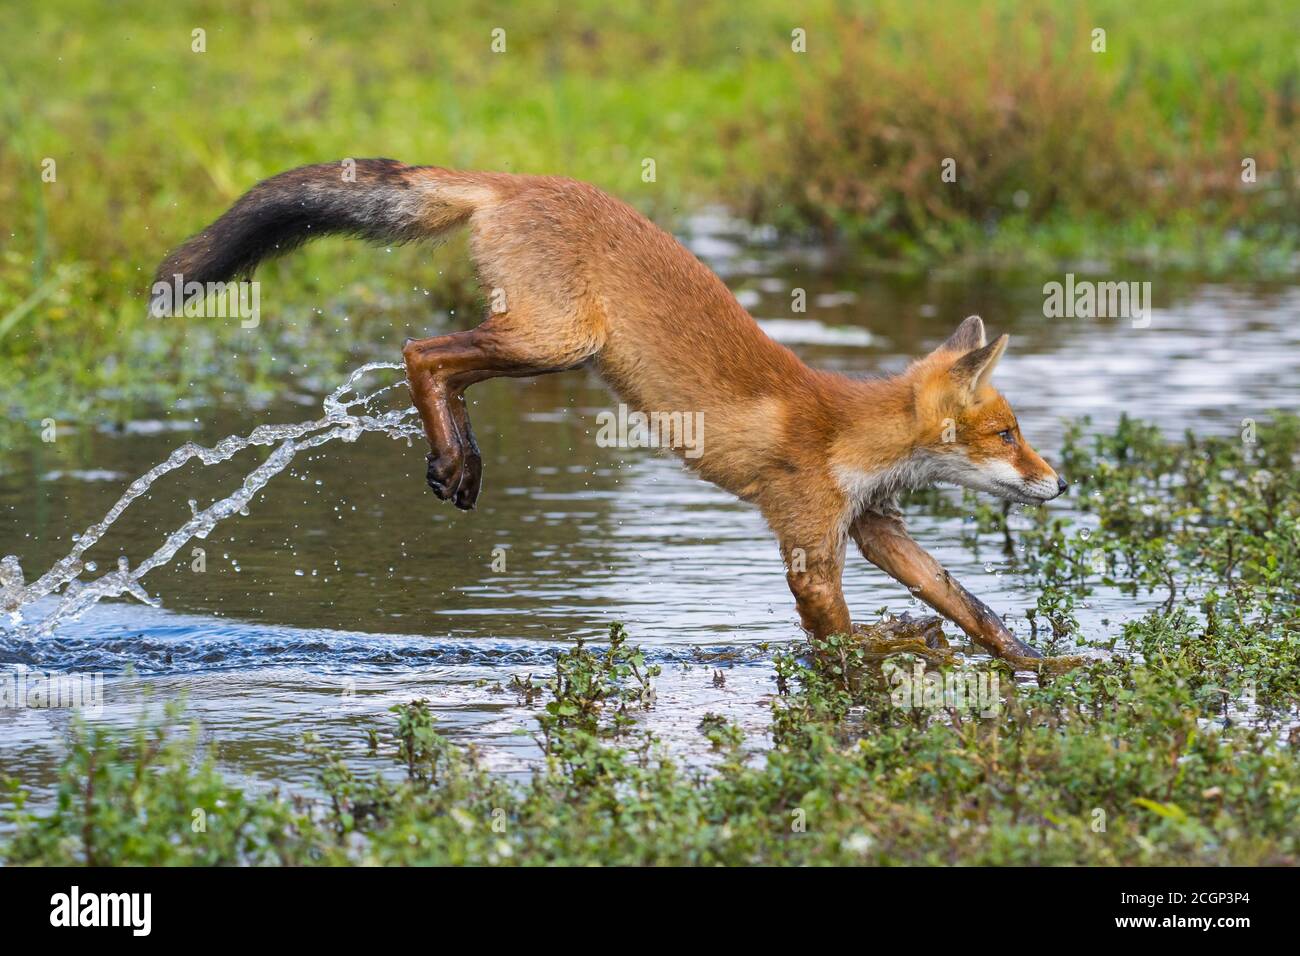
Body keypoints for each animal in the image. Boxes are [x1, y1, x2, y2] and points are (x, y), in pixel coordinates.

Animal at [152, 158, 1066, 665]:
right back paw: (457, 458)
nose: (1058, 483)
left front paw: (1042, 666)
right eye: (1008, 435)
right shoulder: (807, 534)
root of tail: (519, 179)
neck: (851, 433)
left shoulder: (873, 524)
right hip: (559, 341)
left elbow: (970, 605)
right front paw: (904, 644)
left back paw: (458, 456)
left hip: (548, 342)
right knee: (422, 352)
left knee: (436, 361)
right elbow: (843, 638)